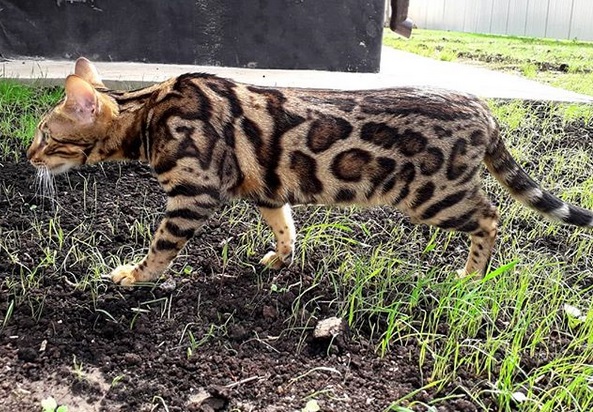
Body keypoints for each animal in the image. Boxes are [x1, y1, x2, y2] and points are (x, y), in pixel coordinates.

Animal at [27, 57, 592, 286]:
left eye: (44, 134)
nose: (28, 157)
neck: (148, 113)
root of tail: (486, 110)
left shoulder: (193, 194)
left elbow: (161, 247)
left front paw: (133, 276)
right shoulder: (266, 188)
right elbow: (285, 226)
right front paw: (282, 258)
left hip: (432, 196)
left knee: (492, 216)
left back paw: (470, 276)